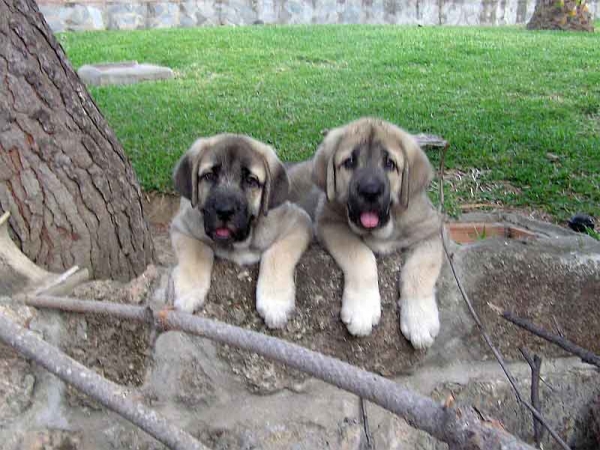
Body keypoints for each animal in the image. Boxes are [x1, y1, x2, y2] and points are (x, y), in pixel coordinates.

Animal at [169, 134, 310, 326]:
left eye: (251, 181)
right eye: (209, 176)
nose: (224, 210)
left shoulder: (298, 222)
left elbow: (276, 255)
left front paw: (275, 302)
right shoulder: (182, 227)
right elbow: (196, 253)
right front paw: (188, 292)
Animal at [288, 118, 442, 350]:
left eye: (390, 164)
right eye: (349, 162)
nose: (370, 191)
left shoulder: (431, 231)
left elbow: (419, 271)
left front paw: (420, 320)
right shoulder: (329, 222)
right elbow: (361, 255)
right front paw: (362, 309)